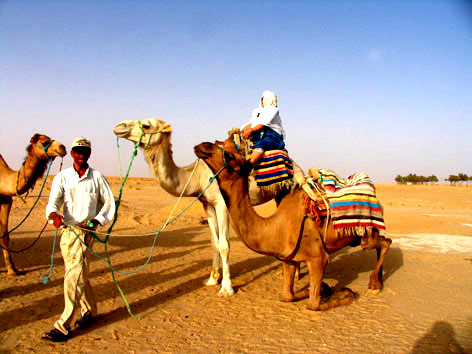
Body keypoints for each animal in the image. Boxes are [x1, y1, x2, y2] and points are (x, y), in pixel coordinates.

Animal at [112, 118, 296, 296]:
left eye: (146, 125)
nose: (119, 126)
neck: (197, 175)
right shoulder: (207, 205)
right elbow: (214, 242)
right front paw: (212, 279)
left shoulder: (222, 203)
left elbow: (224, 245)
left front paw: (226, 288)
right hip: (279, 192)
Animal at [194, 140, 392, 312]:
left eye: (230, 155)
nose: (202, 145)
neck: (276, 227)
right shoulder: (288, 259)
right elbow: (287, 296)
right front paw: (324, 288)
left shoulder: (318, 258)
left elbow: (313, 304)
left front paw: (345, 292)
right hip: (356, 237)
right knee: (383, 242)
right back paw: (378, 278)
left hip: (366, 232)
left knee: (385, 242)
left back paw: (375, 284)